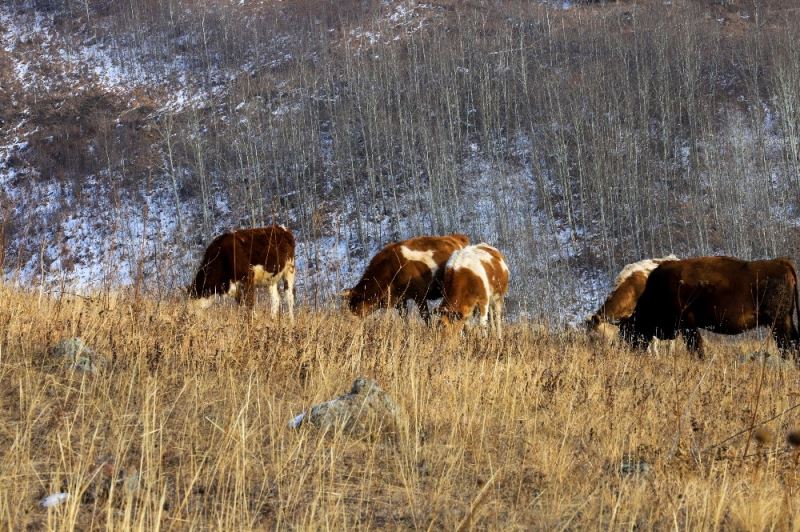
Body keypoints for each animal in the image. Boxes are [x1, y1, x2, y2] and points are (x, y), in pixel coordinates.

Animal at [620, 256, 800, 360]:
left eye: (630, 330)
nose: (631, 352)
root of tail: (781, 263)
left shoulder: (688, 326)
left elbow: (696, 348)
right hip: (785, 320)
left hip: (778, 322)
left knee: (786, 345)